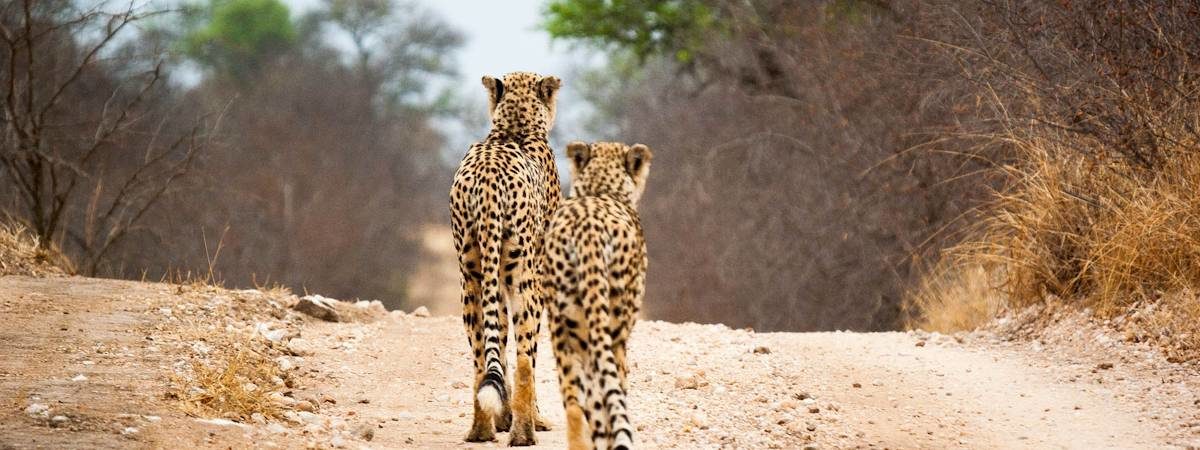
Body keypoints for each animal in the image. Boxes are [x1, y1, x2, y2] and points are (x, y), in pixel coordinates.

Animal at [451, 72, 561, 446]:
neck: (514, 128)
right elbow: (524, 355)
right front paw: (526, 419)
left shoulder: (491, 281)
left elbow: (495, 339)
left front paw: (503, 418)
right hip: (524, 279)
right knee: (526, 359)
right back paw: (525, 432)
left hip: (472, 277)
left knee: (480, 357)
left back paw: (481, 429)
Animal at [547, 141, 652, 450]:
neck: (600, 190)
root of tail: (588, 229)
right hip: (610, 327)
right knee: (604, 394)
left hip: (562, 326)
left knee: (574, 404)